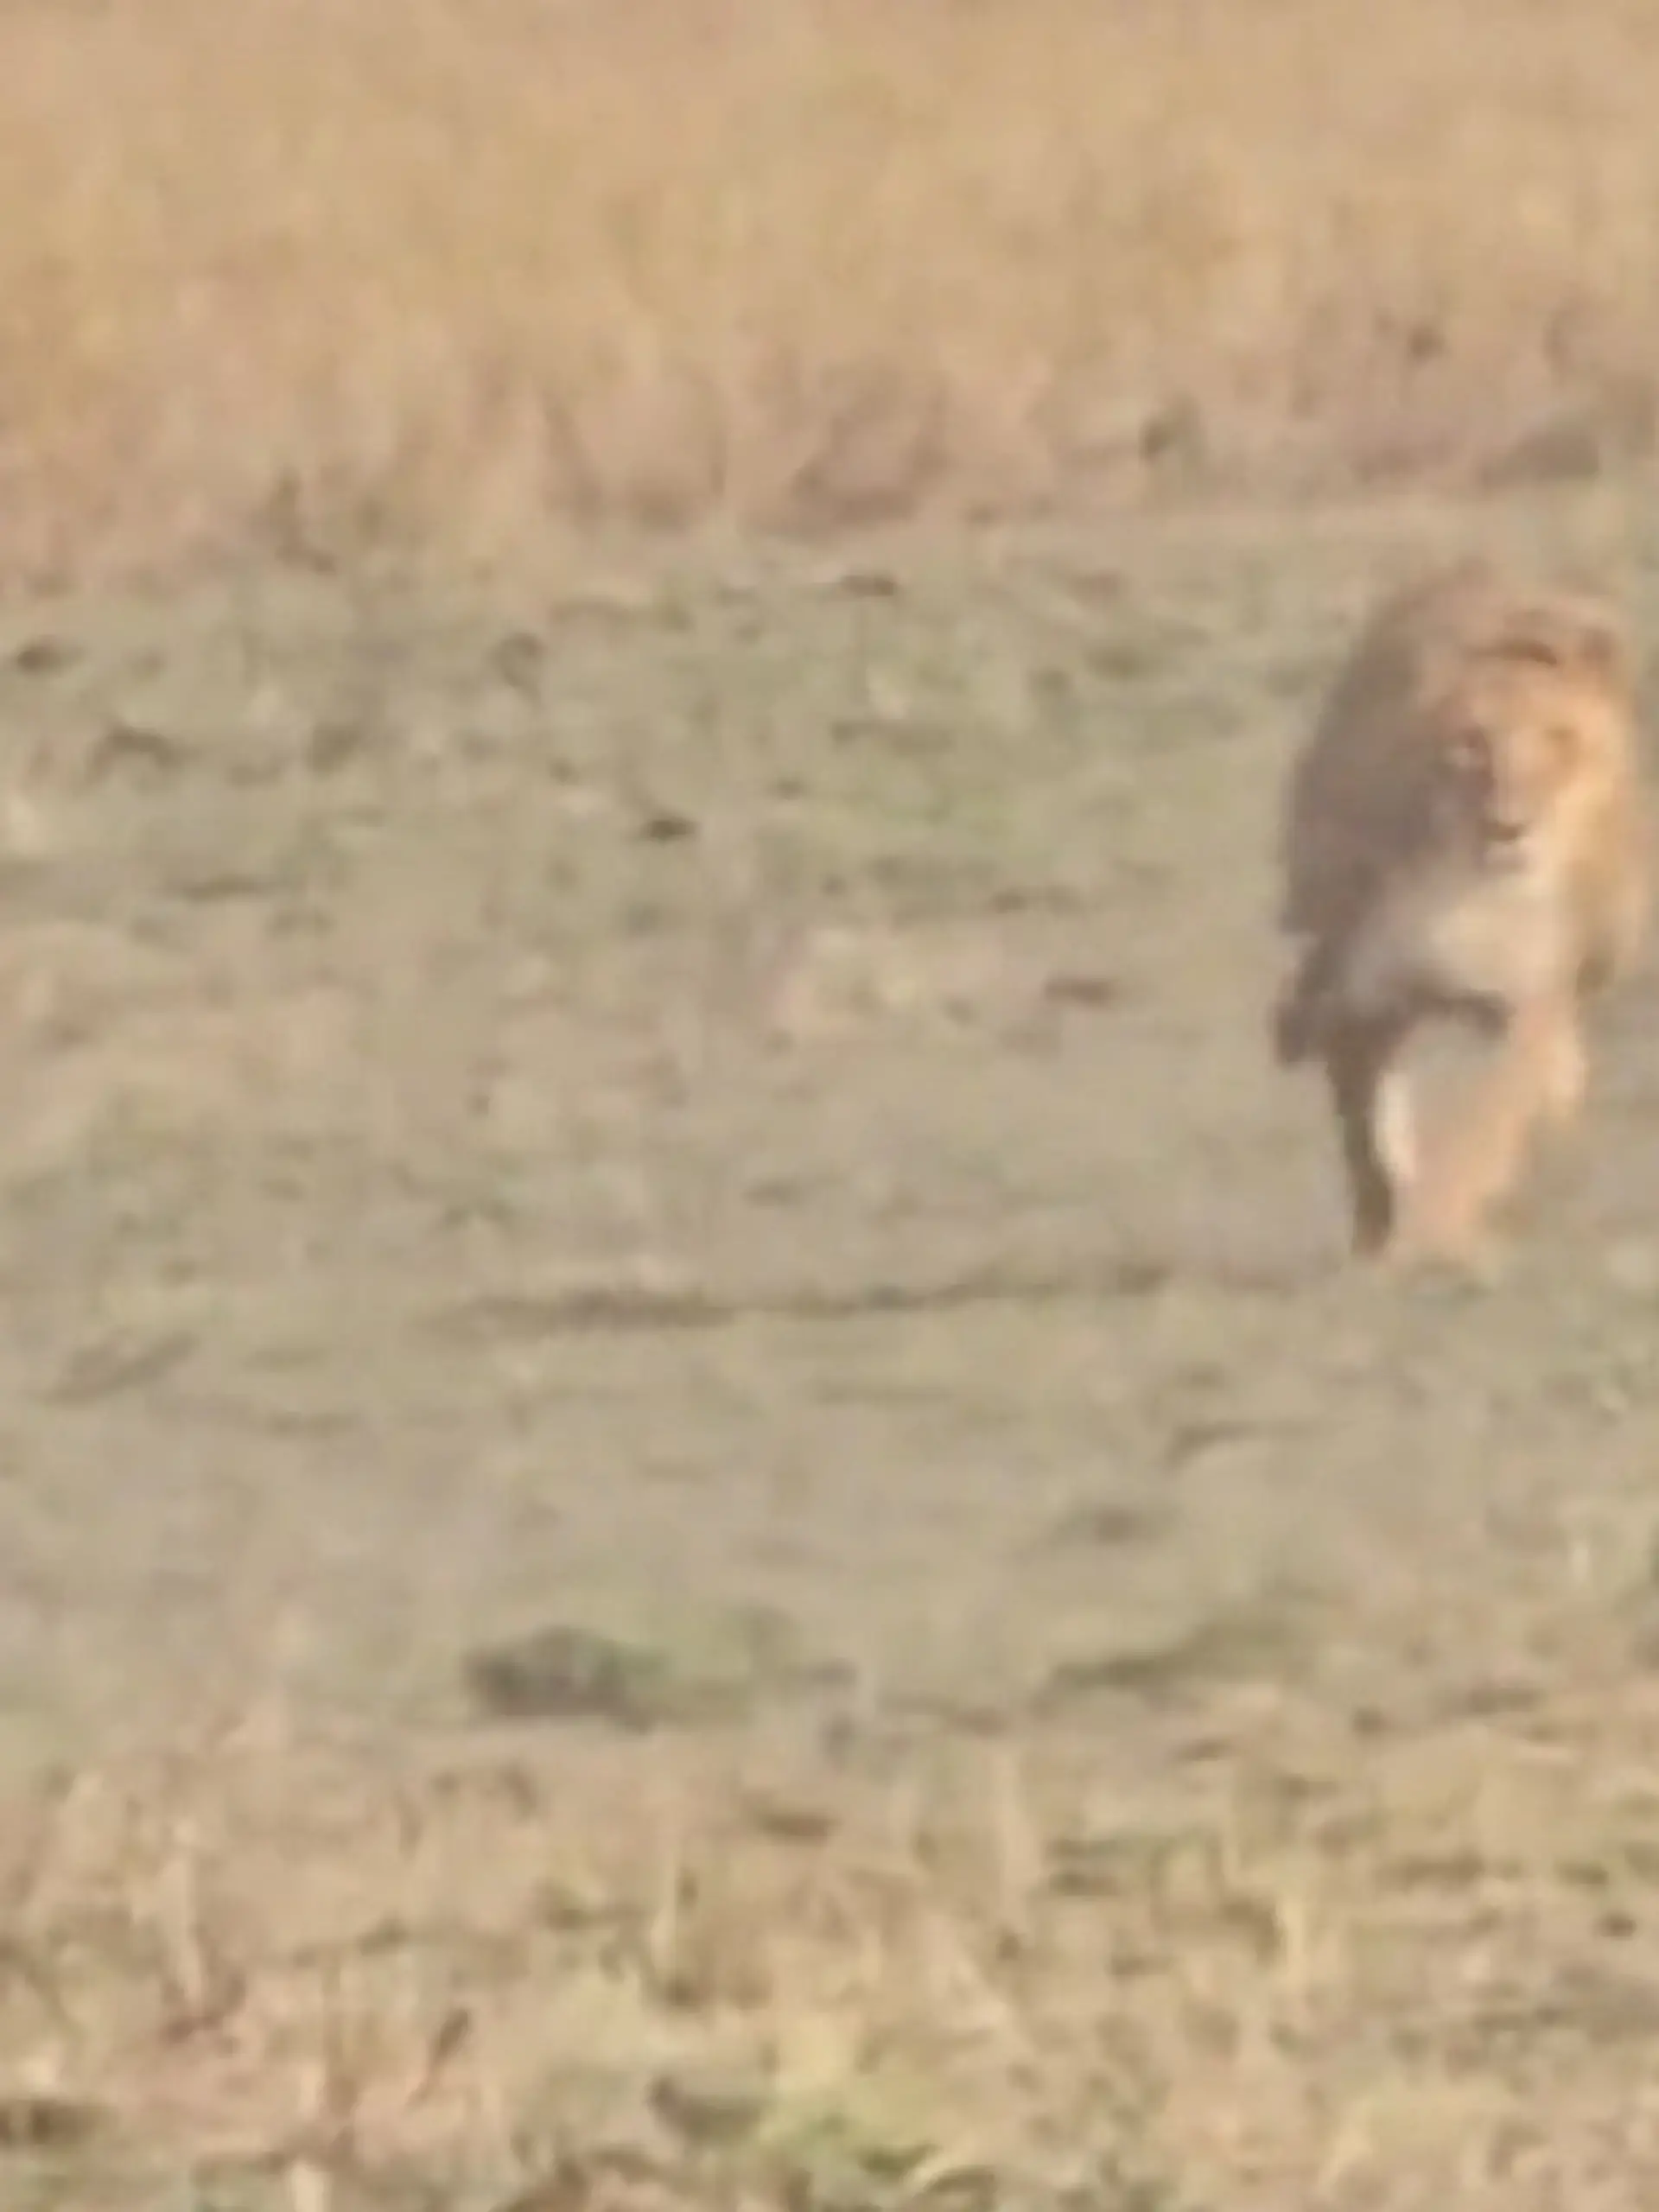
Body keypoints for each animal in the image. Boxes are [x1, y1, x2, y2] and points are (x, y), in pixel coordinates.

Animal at [1272, 556, 1649, 1269]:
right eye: (1472, 743)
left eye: (1558, 739)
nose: (1510, 827)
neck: (1466, 882)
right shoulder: (1365, 998)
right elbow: (1369, 1136)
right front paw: (1384, 1235)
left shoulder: (1528, 1004)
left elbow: (1485, 1126)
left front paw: (1442, 1228)